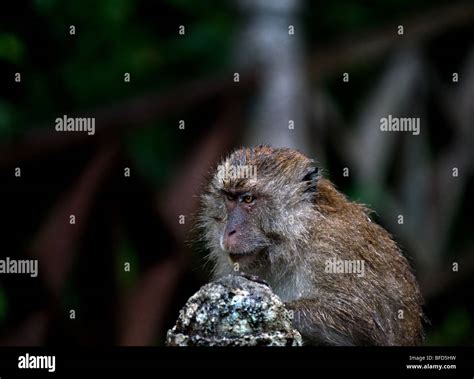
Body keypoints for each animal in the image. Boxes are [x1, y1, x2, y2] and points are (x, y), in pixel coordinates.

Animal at [196, 146, 422, 348]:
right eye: (229, 198)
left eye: (248, 199)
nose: (229, 231)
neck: (299, 236)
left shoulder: (333, 249)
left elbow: (362, 323)